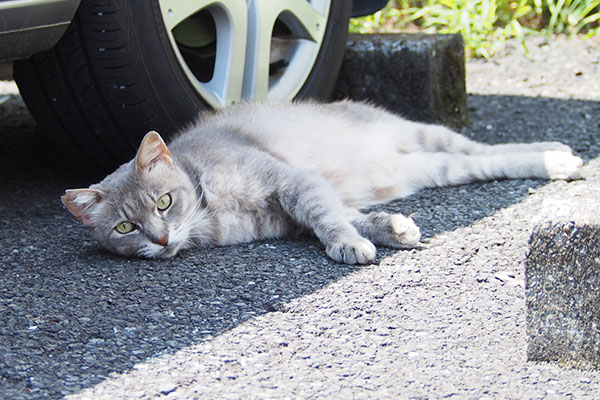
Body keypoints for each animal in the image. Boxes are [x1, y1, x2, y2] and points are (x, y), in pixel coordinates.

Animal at [63, 100, 584, 264]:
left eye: (164, 202)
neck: (211, 209)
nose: (161, 239)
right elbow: (348, 217)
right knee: (485, 163)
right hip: (436, 166)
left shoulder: (293, 182)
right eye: (126, 228)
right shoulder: (295, 210)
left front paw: (348, 245)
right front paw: (391, 230)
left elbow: (330, 220)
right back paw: (558, 159)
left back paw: (558, 155)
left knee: (488, 149)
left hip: (424, 134)